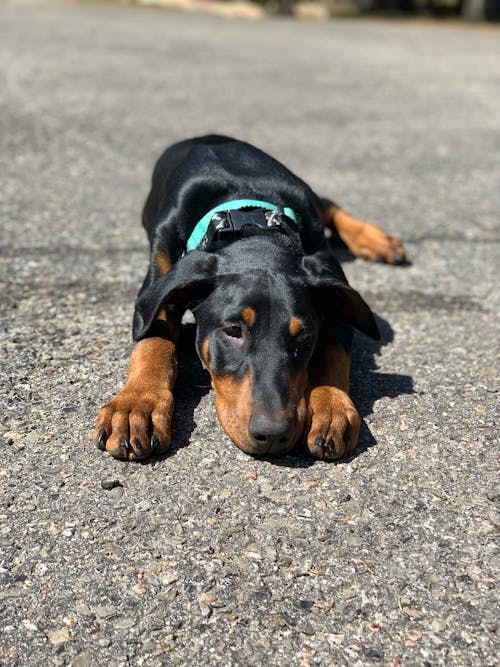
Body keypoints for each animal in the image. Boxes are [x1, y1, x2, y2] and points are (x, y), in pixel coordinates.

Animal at [94, 134, 406, 462]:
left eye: (304, 336)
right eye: (233, 330)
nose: (272, 435)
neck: (248, 218)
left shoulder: (332, 288)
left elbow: (333, 352)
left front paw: (331, 407)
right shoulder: (157, 287)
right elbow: (152, 341)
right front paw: (136, 406)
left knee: (329, 204)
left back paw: (376, 240)